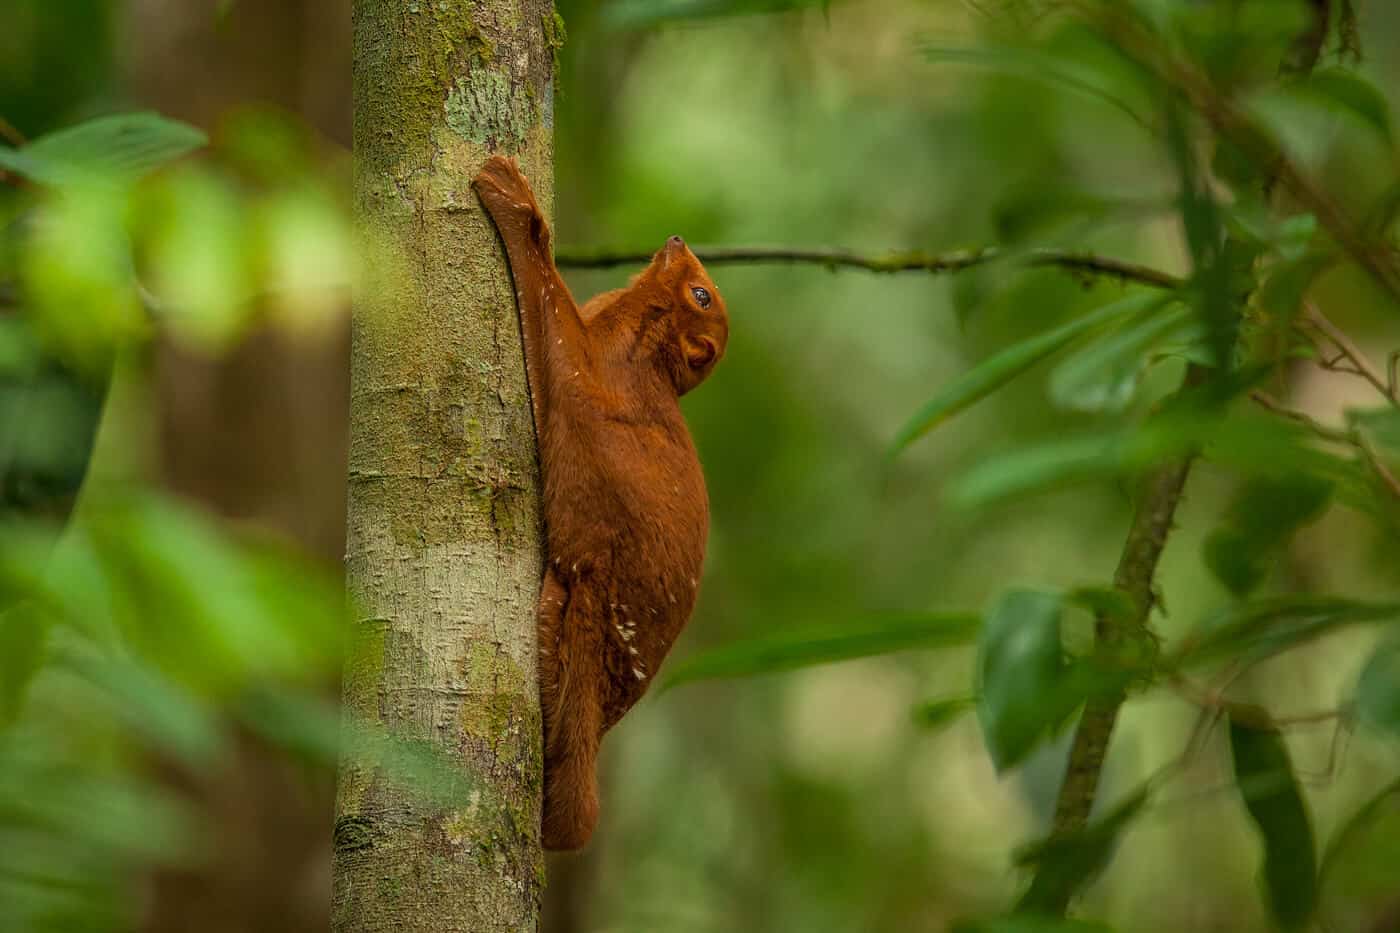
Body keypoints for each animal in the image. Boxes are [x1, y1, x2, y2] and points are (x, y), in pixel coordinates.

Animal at [473, 156, 728, 851]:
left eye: (701, 295)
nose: (678, 241)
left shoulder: (603, 367)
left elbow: (556, 330)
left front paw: (516, 206)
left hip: (584, 607)